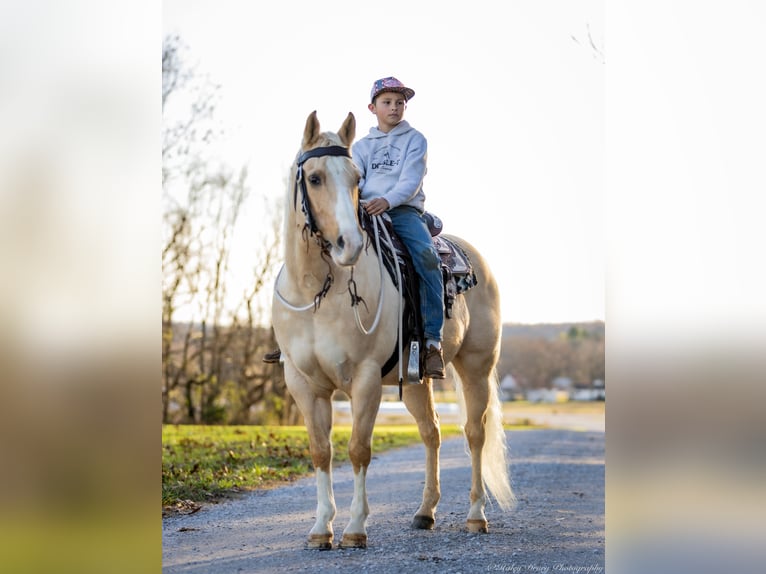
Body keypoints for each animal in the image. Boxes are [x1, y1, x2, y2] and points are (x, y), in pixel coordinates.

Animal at [272, 111, 516, 548]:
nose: (349, 244)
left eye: (356, 179)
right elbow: (320, 451)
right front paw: (321, 529)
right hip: (417, 381)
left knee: (474, 433)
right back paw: (425, 512)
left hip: (476, 367)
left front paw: (354, 528)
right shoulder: (303, 383)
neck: (318, 291)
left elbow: (358, 450)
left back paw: (476, 515)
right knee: (432, 433)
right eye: (314, 178)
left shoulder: (366, 378)